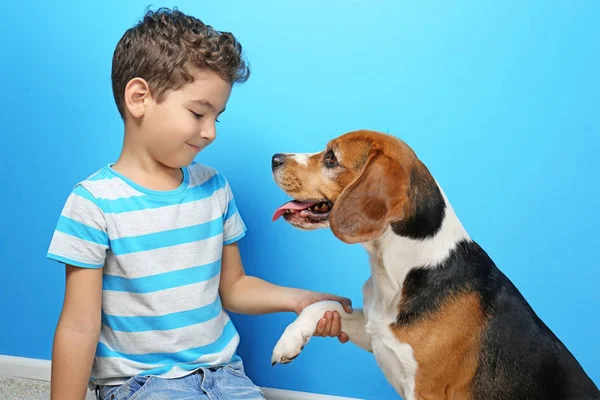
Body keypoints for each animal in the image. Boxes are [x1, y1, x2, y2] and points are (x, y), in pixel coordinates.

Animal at [270, 130, 596, 400]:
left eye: (331, 158)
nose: (274, 158)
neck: (400, 273)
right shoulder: (375, 333)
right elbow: (325, 305)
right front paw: (289, 340)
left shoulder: (427, 389)